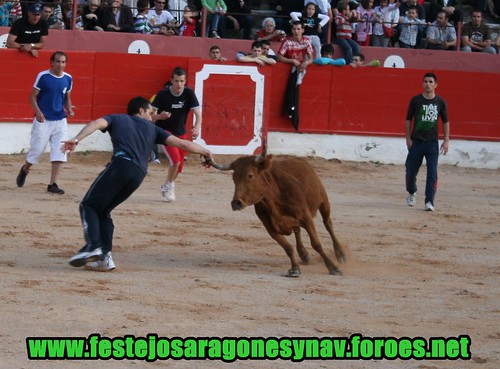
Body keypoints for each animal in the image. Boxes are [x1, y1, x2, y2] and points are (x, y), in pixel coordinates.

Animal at [205, 148, 346, 278]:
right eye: (233, 178)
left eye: (250, 175)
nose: (236, 203)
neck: (273, 198)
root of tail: (301, 160)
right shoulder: (270, 227)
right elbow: (287, 247)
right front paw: (295, 269)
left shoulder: (306, 218)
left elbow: (317, 244)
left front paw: (333, 268)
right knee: (297, 230)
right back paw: (304, 255)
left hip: (324, 201)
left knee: (328, 224)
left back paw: (341, 255)